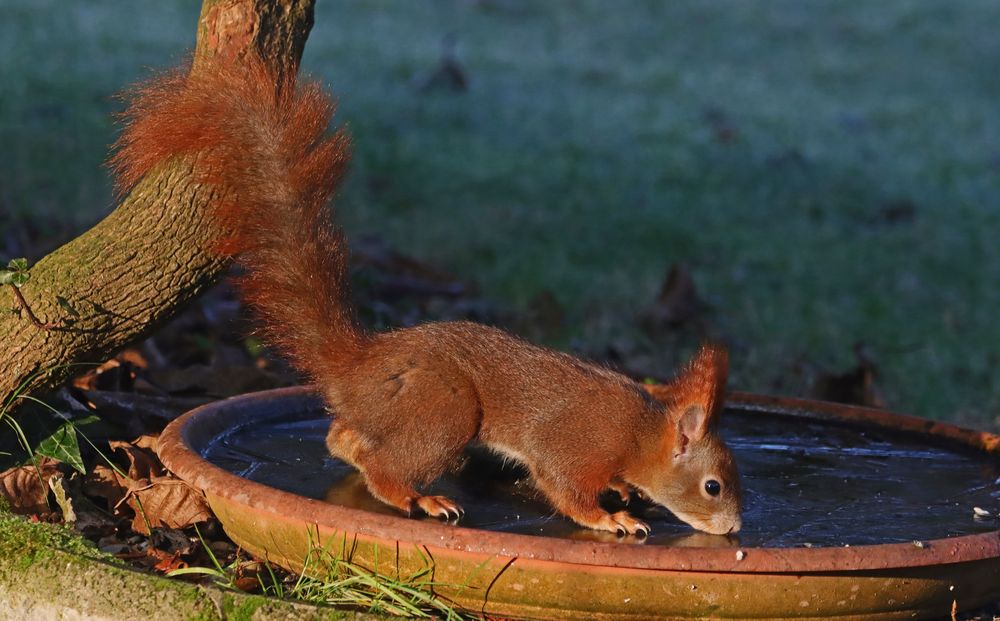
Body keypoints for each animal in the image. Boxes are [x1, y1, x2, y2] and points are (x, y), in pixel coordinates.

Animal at [109, 55, 744, 536]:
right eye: (713, 485)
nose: (736, 526)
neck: (639, 432)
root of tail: (357, 365)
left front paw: (621, 492)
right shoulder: (576, 442)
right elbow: (563, 487)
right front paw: (610, 518)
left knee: (343, 438)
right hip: (445, 409)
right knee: (380, 463)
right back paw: (418, 497)